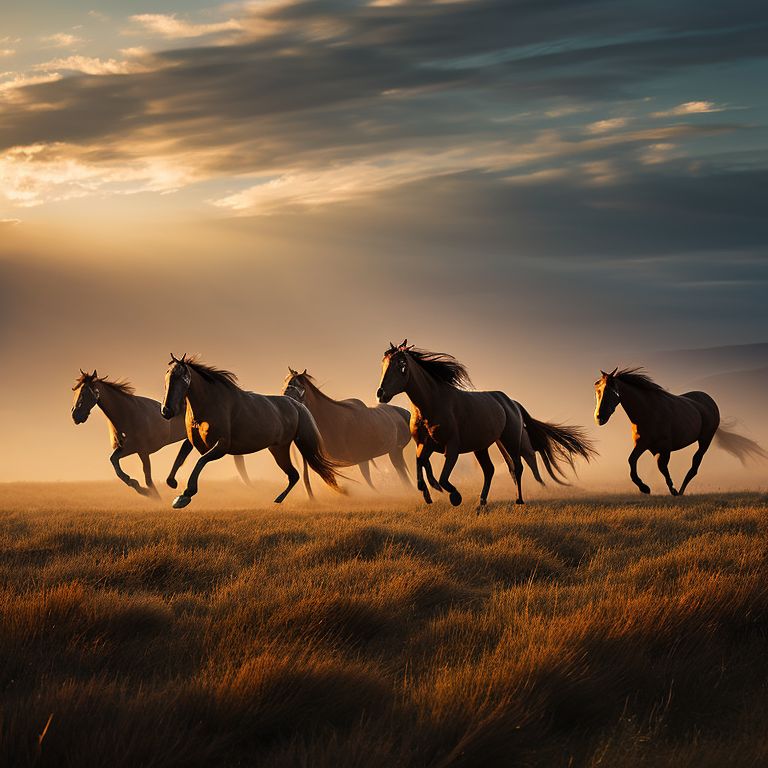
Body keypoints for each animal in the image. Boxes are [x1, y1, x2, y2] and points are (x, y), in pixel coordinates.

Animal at [71, 370, 252, 498]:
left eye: (85, 392)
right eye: (75, 390)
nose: (75, 415)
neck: (128, 413)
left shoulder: (142, 451)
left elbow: (147, 476)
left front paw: (152, 494)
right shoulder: (126, 449)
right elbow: (114, 462)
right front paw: (137, 486)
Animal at [160, 356, 342, 510]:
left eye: (182, 378)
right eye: (167, 377)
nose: (166, 411)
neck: (211, 404)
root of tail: (296, 405)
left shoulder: (221, 446)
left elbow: (200, 461)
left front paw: (184, 496)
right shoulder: (196, 441)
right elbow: (182, 453)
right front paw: (172, 482)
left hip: (280, 449)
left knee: (294, 475)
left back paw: (279, 499)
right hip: (277, 449)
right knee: (294, 475)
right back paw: (278, 500)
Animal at [284, 368, 414, 498]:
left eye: (299, 386)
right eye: (285, 385)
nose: (288, 406)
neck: (330, 420)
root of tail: (405, 413)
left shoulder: (359, 458)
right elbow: (309, 477)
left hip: (395, 452)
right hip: (394, 452)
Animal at [376, 340, 596, 508]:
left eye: (401, 366)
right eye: (383, 364)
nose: (381, 393)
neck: (433, 403)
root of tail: (511, 402)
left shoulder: (452, 448)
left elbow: (443, 477)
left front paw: (455, 497)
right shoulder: (425, 445)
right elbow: (420, 466)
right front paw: (428, 494)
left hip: (510, 441)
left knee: (517, 467)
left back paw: (518, 500)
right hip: (482, 447)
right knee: (490, 470)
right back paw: (481, 501)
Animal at [592, 368, 768, 498]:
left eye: (610, 391)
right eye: (597, 390)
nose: (599, 417)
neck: (648, 412)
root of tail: (710, 402)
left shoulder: (664, 448)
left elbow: (662, 467)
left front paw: (672, 490)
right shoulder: (642, 444)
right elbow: (631, 462)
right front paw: (644, 488)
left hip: (705, 440)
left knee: (694, 466)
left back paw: (682, 491)